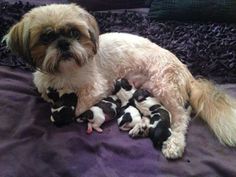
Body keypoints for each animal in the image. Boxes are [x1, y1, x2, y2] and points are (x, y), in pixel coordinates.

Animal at [3, 3, 236, 159]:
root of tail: (187, 72)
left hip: (164, 87)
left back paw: (173, 144)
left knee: (180, 117)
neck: (64, 73)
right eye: (46, 37)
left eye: (74, 33)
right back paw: (142, 126)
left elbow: (79, 106)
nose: (63, 44)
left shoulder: (95, 90)